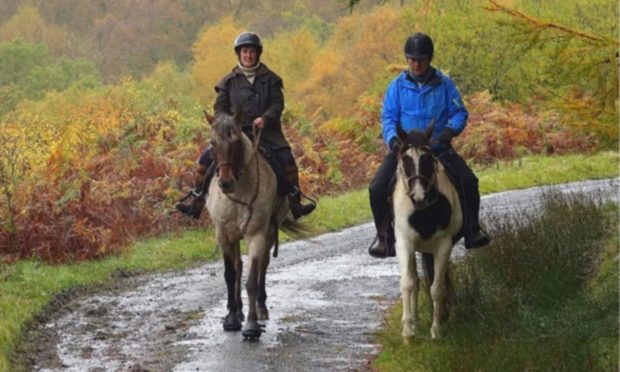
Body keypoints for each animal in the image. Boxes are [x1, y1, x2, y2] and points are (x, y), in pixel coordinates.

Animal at [205, 112, 300, 340]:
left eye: (238, 143)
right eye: (212, 144)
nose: (225, 183)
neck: (237, 193)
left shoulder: (256, 234)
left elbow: (252, 281)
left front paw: (251, 325)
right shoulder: (224, 235)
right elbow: (230, 274)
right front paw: (231, 318)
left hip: (269, 232)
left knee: (263, 266)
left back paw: (261, 308)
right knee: (238, 265)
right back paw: (237, 310)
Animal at [392, 123, 460, 338]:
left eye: (428, 158)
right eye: (404, 159)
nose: (418, 196)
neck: (422, 211)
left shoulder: (444, 245)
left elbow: (437, 288)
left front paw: (437, 329)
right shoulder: (404, 243)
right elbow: (408, 283)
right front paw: (408, 331)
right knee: (414, 280)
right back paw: (414, 322)